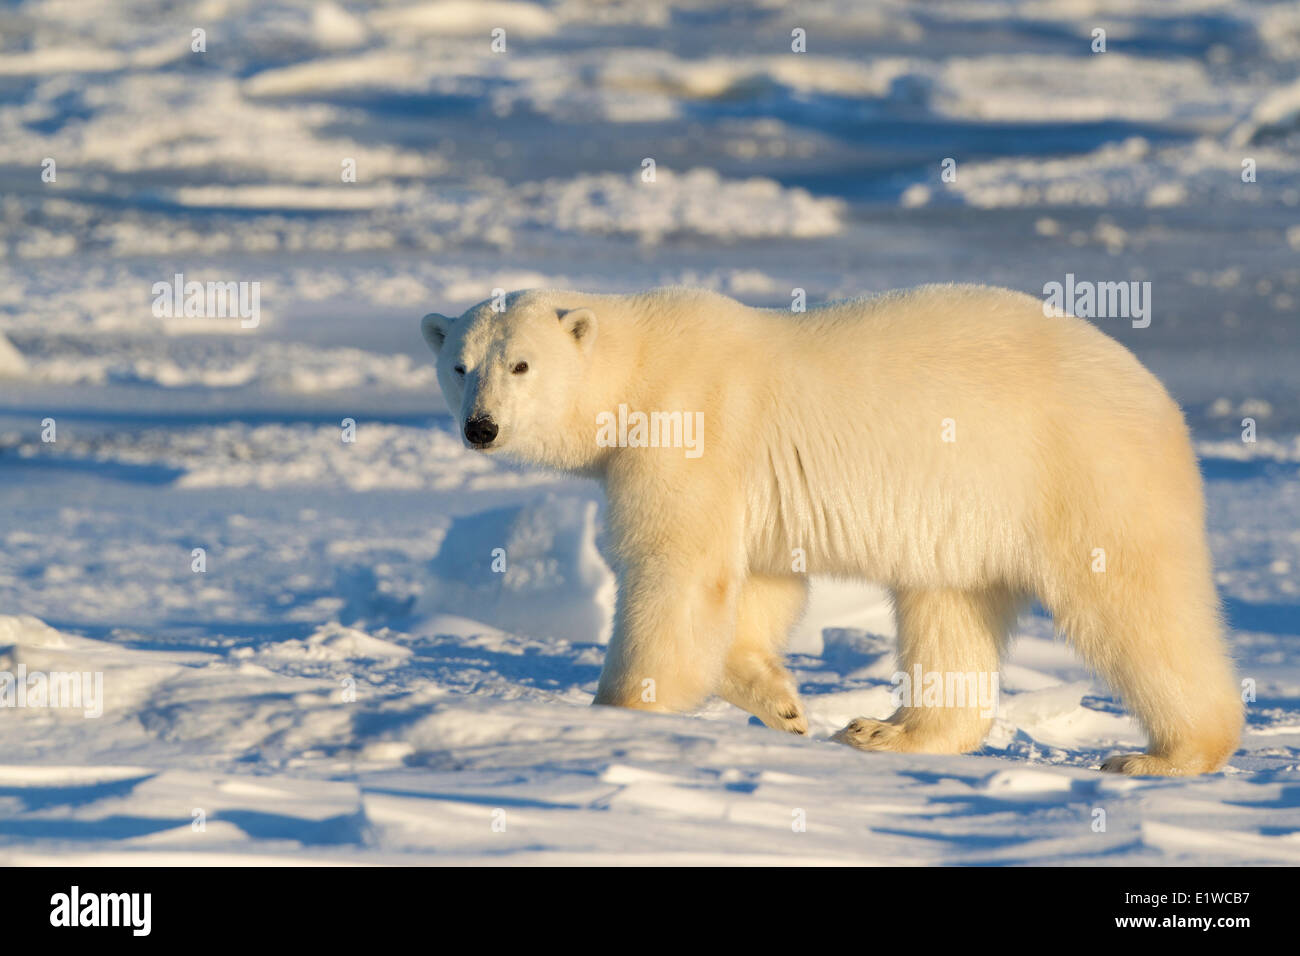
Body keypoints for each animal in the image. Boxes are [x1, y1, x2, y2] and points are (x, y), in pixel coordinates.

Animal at [421, 286, 1242, 780]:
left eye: (521, 365)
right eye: (459, 365)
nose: (480, 427)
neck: (644, 368)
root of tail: (1162, 398)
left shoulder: (691, 433)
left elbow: (676, 571)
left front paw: (620, 716)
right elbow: (756, 586)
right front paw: (783, 704)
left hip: (1081, 473)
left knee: (1136, 605)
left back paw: (1166, 755)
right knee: (949, 605)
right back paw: (889, 730)